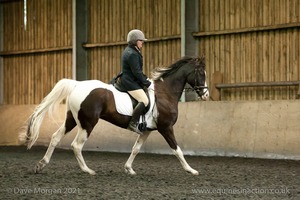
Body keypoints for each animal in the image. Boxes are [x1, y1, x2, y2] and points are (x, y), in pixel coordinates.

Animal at [19, 55, 209, 175]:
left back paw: (41, 165)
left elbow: (136, 149)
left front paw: (129, 169)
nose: (206, 95)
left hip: (72, 119)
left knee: (55, 138)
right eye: (201, 73)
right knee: (76, 145)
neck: (165, 93)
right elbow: (177, 150)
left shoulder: (147, 130)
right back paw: (88, 171)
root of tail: (77, 84)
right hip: (88, 123)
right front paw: (191, 170)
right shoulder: (166, 127)